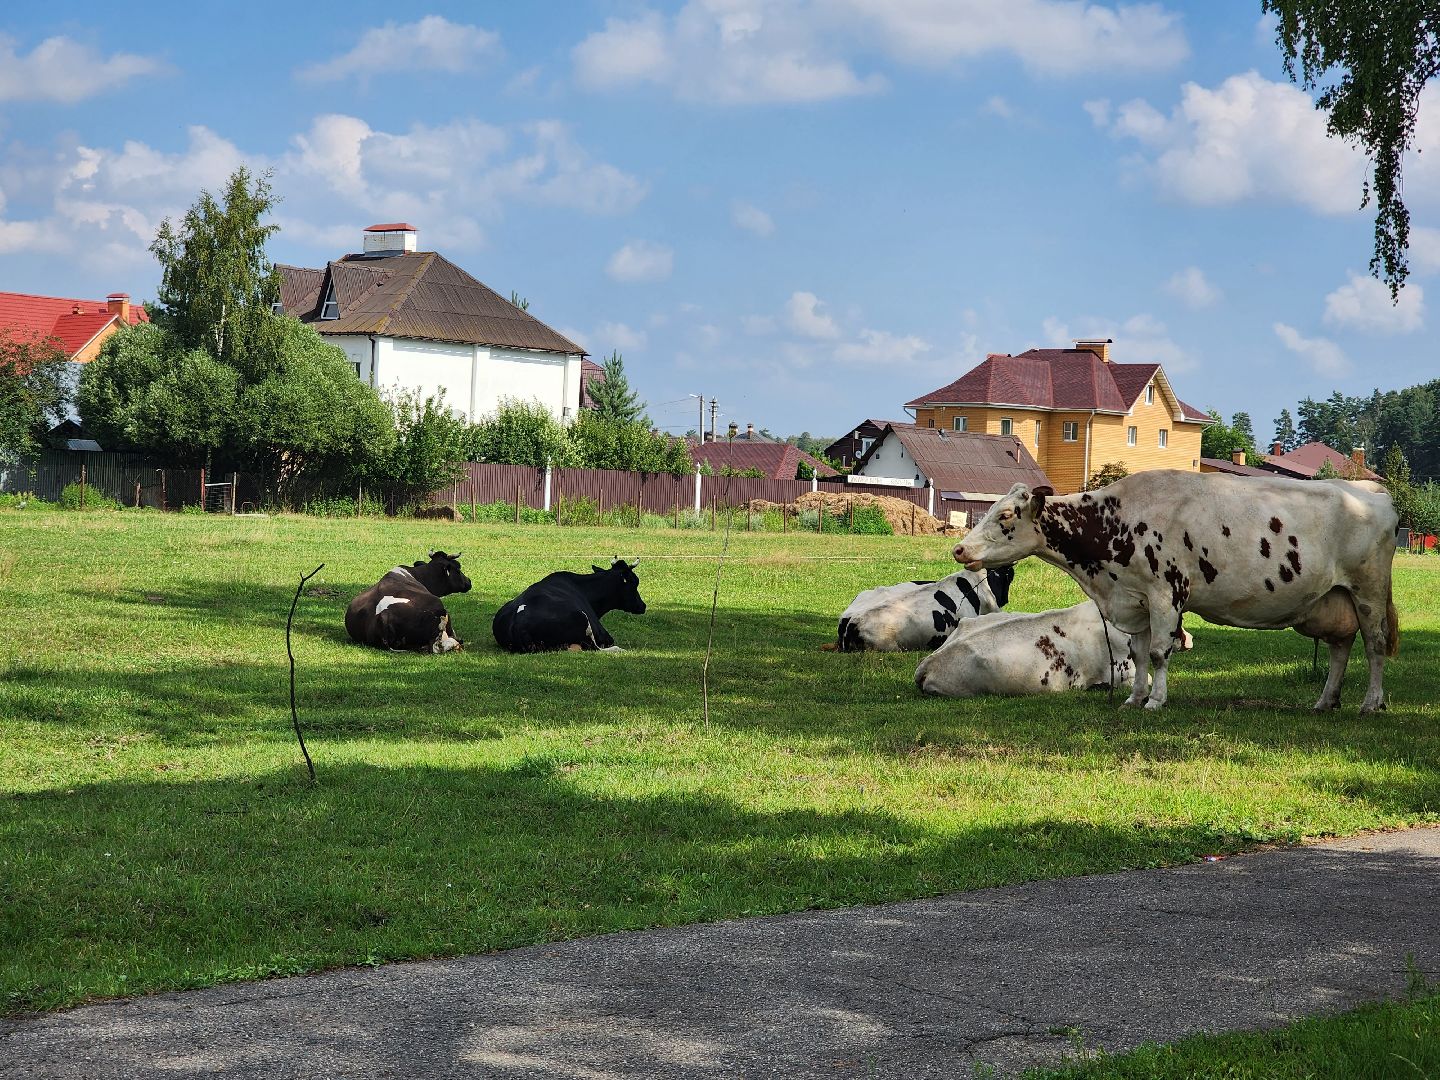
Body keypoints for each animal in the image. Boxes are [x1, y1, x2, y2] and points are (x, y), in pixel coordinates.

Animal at [951, 472, 1398, 713]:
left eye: (1005, 515)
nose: (959, 549)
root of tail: (1369, 490)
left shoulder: (1166, 594)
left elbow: (1157, 653)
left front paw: (1155, 701)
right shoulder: (1136, 601)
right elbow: (1136, 654)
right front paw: (1134, 699)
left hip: (1369, 591)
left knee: (1374, 646)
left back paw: (1371, 702)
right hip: (1335, 599)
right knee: (1341, 649)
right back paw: (1326, 701)